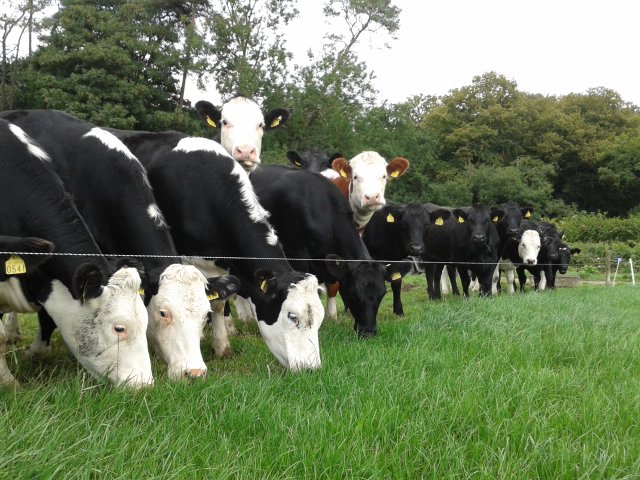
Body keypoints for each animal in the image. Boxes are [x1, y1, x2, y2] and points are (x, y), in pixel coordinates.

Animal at [108, 129, 324, 370]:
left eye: (320, 319)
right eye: (292, 316)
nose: (311, 367)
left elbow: (218, 302)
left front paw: (222, 346)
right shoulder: (188, 259)